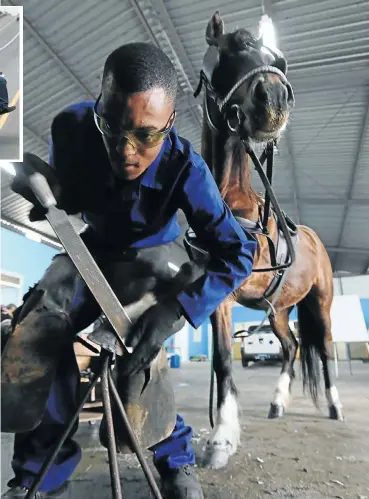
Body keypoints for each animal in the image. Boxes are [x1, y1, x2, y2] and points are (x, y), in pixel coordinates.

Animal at [191, 11, 344, 470]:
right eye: (235, 46)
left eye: (279, 61)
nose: (274, 98)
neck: (229, 201)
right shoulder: (217, 292)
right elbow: (224, 357)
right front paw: (223, 435)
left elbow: (226, 357)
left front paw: (222, 437)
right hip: (278, 310)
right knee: (291, 346)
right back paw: (277, 403)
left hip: (320, 302)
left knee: (323, 348)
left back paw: (334, 405)